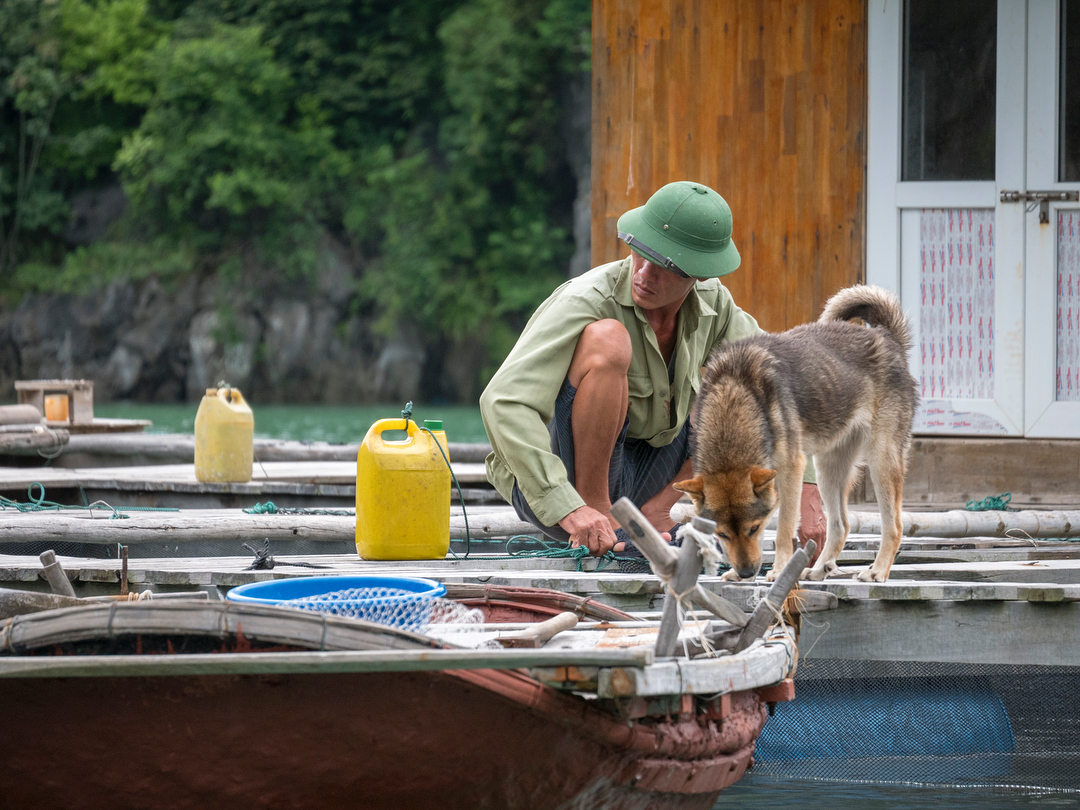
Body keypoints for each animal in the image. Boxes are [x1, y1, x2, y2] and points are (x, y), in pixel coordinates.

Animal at [678, 285, 915, 583]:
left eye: (754, 528)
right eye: (722, 534)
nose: (746, 573)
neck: (736, 396)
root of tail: (886, 337)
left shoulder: (791, 470)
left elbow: (783, 530)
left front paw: (779, 571)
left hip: (880, 462)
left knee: (894, 526)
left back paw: (877, 571)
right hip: (828, 470)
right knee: (841, 525)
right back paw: (818, 569)